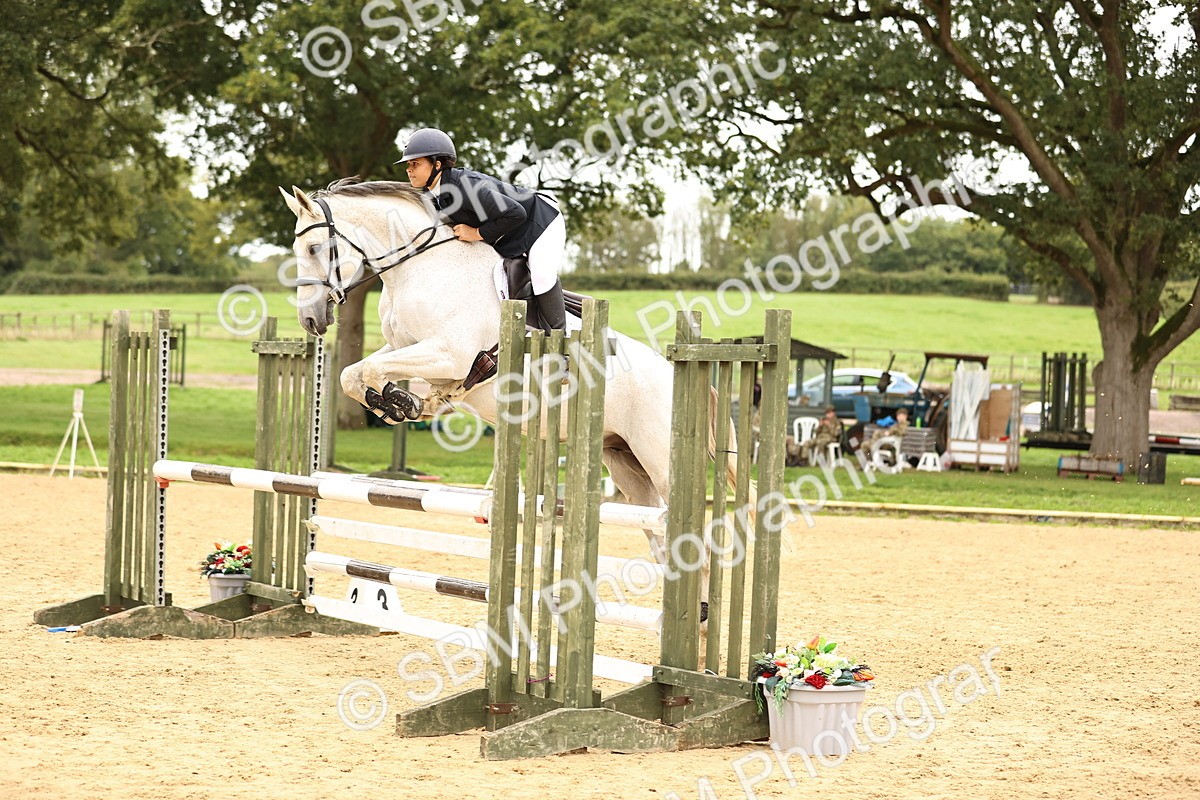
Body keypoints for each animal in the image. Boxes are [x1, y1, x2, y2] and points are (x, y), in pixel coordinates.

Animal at [279, 178, 741, 569]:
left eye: (315, 248)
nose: (310, 320)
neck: (421, 266)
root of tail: (680, 372)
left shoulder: (449, 354)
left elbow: (370, 369)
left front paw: (403, 401)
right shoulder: (404, 347)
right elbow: (353, 373)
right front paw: (402, 402)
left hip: (658, 457)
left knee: (688, 536)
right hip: (625, 463)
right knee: (658, 534)